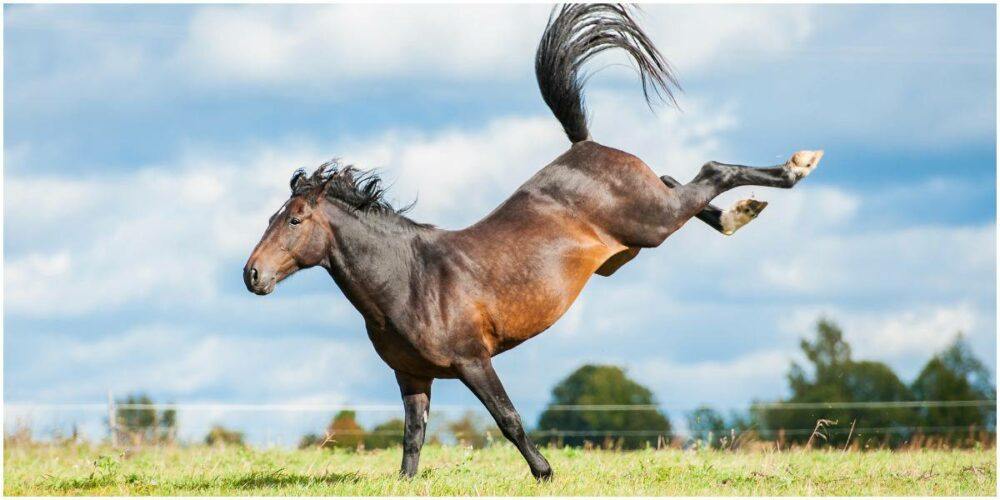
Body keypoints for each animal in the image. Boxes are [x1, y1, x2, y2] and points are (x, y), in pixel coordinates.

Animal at [244, 4, 822, 480]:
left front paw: (544, 473)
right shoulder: (412, 376)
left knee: (710, 170)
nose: (251, 275)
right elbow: (412, 439)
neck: (408, 279)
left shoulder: (473, 361)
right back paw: (740, 213)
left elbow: (508, 419)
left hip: (653, 222)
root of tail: (585, 146)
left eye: (294, 219)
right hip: (652, 219)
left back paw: (793, 169)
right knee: (679, 178)